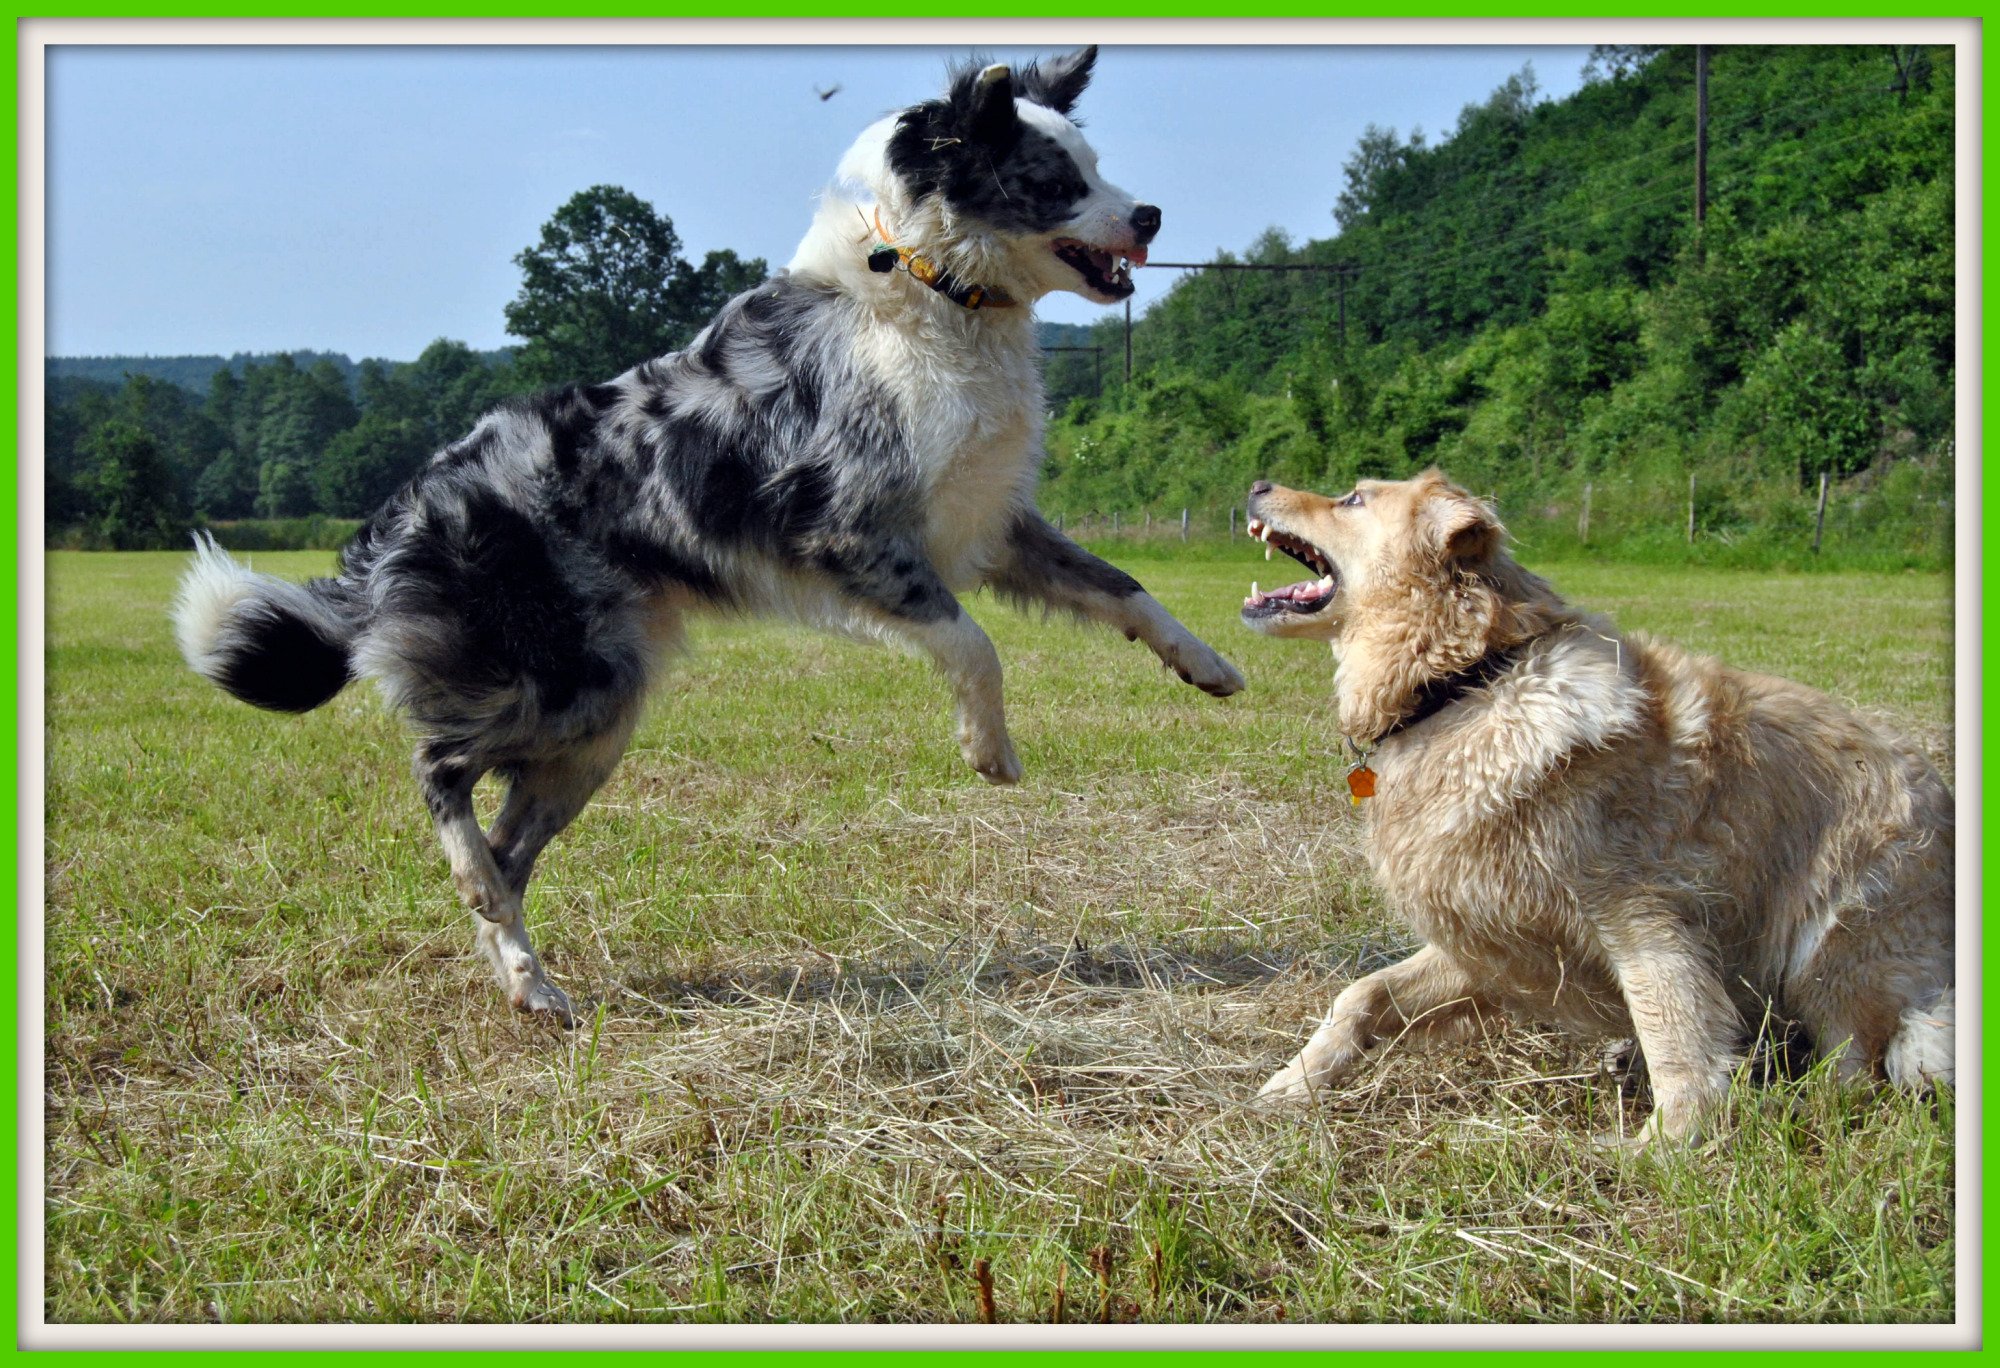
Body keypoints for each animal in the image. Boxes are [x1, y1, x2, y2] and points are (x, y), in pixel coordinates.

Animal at [1232, 470, 1952, 1144]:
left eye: (1354, 499)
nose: (1258, 484)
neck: (1470, 681)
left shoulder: (1645, 920)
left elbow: (1676, 1038)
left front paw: (1666, 1148)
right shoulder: (1489, 936)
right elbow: (1361, 994)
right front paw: (1292, 1085)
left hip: (1832, 947)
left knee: (1857, 1068)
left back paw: (1800, 1105)